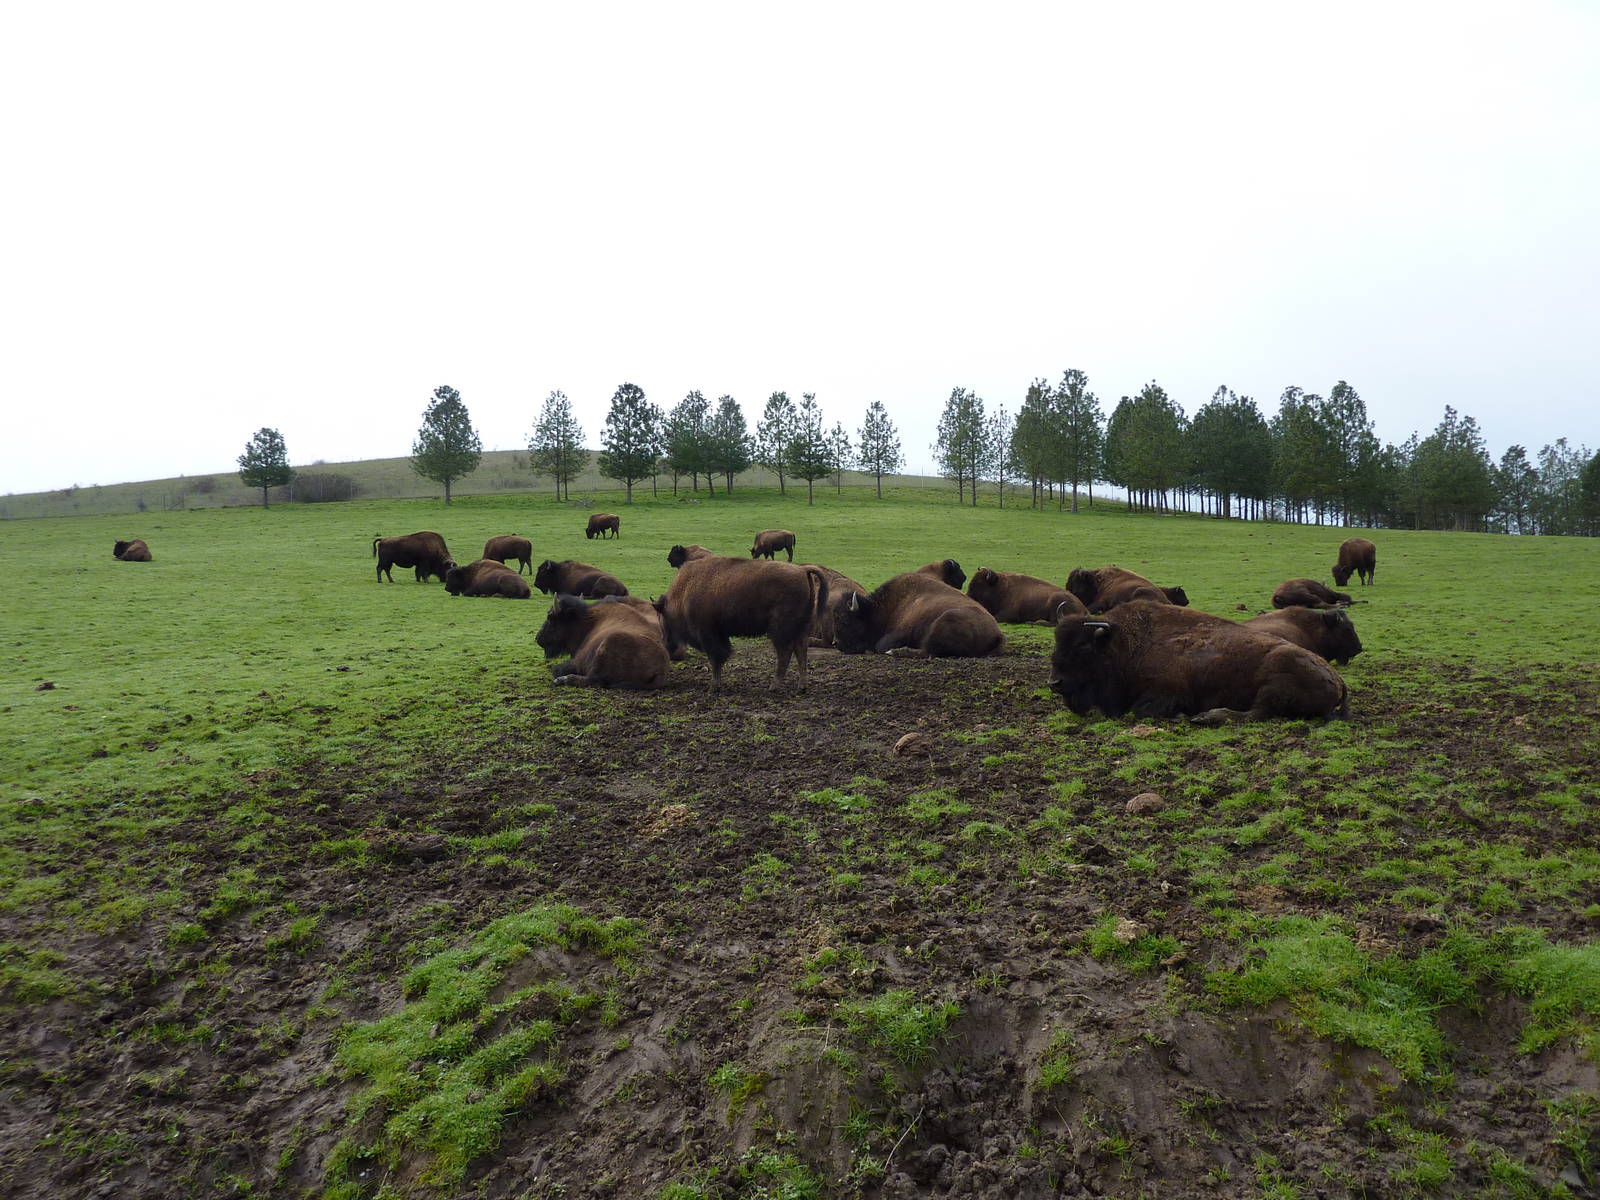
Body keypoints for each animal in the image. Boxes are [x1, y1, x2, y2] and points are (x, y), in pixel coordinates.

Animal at [536, 595, 671, 689]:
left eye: (550, 617)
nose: (538, 639)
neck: (587, 622)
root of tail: (661, 670)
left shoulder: (577, 661)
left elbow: (557, 669)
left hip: (609, 642)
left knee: (593, 680)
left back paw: (561, 680)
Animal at [653, 556, 828, 688]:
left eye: (662, 618)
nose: (665, 644)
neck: (684, 592)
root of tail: (802, 570)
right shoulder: (719, 634)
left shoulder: (708, 634)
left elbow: (716, 657)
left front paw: (714, 686)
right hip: (802, 628)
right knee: (801, 651)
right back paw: (801, 686)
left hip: (779, 631)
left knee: (785, 652)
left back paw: (774, 686)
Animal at [833, 571, 1004, 658]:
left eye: (844, 619)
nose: (837, 644)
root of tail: (997, 633)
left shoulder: (901, 632)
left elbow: (880, 645)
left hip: (946, 619)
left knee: (928, 651)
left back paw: (897, 652)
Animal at [1049, 600, 1348, 723]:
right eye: (1056, 641)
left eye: (1083, 646)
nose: (1054, 683)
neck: (1124, 643)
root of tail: (1337, 679)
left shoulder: (1167, 693)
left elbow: (1140, 711)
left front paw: (1182, 715)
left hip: (1274, 682)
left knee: (1255, 714)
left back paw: (1206, 717)